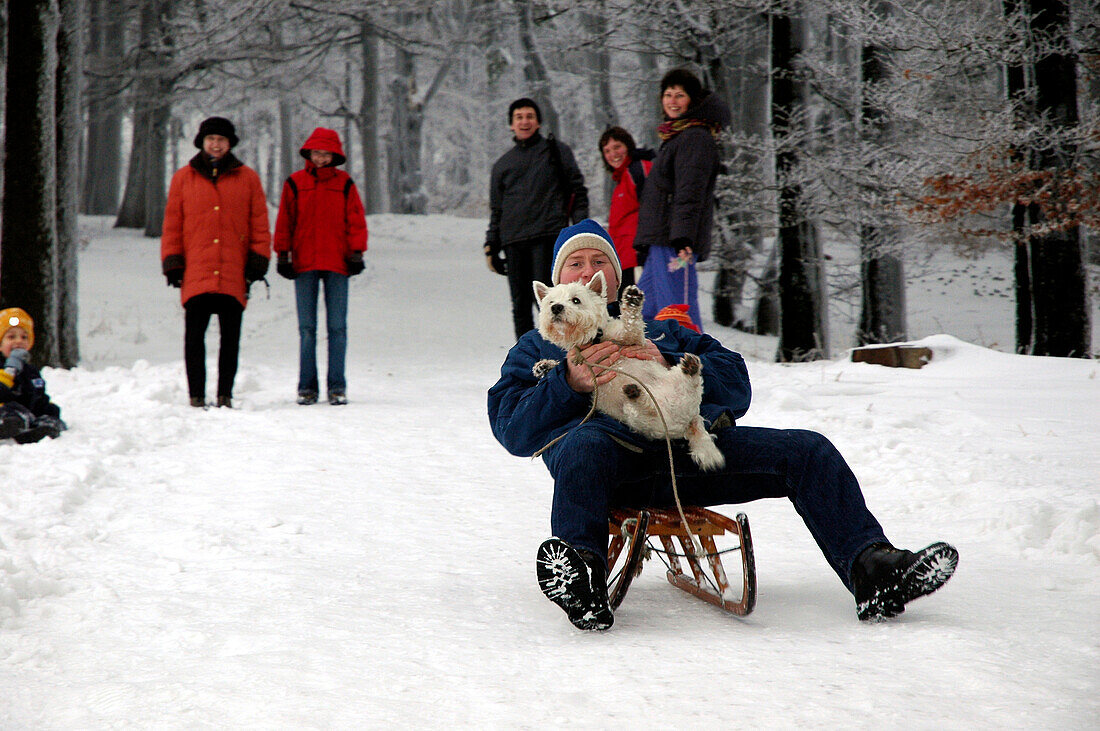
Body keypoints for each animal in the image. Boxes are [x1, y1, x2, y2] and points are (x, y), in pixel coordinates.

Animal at [530, 270, 726, 470]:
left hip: (671, 391)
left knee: (692, 386)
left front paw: (632, 301)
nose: (556, 308)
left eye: (576, 300)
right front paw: (543, 366)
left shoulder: (632, 339)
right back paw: (637, 393)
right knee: (648, 410)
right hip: (639, 420)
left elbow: (630, 327)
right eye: (551, 302)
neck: (592, 339)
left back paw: (690, 368)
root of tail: (688, 422)